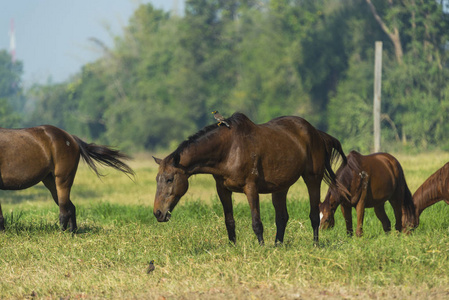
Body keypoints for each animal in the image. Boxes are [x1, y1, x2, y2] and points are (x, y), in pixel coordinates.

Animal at [0, 124, 135, 232]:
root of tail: (71, 138)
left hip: (63, 180)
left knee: (64, 211)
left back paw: (63, 233)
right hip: (51, 182)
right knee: (70, 207)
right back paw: (72, 232)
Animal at [152, 112, 344, 244]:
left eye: (169, 179)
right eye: (157, 179)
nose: (158, 213)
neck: (229, 149)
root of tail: (316, 132)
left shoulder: (251, 188)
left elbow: (256, 223)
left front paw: (261, 248)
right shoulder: (222, 190)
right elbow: (229, 221)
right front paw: (233, 246)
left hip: (312, 179)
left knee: (313, 215)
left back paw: (315, 244)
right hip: (281, 187)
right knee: (282, 217)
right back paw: (278, 245)